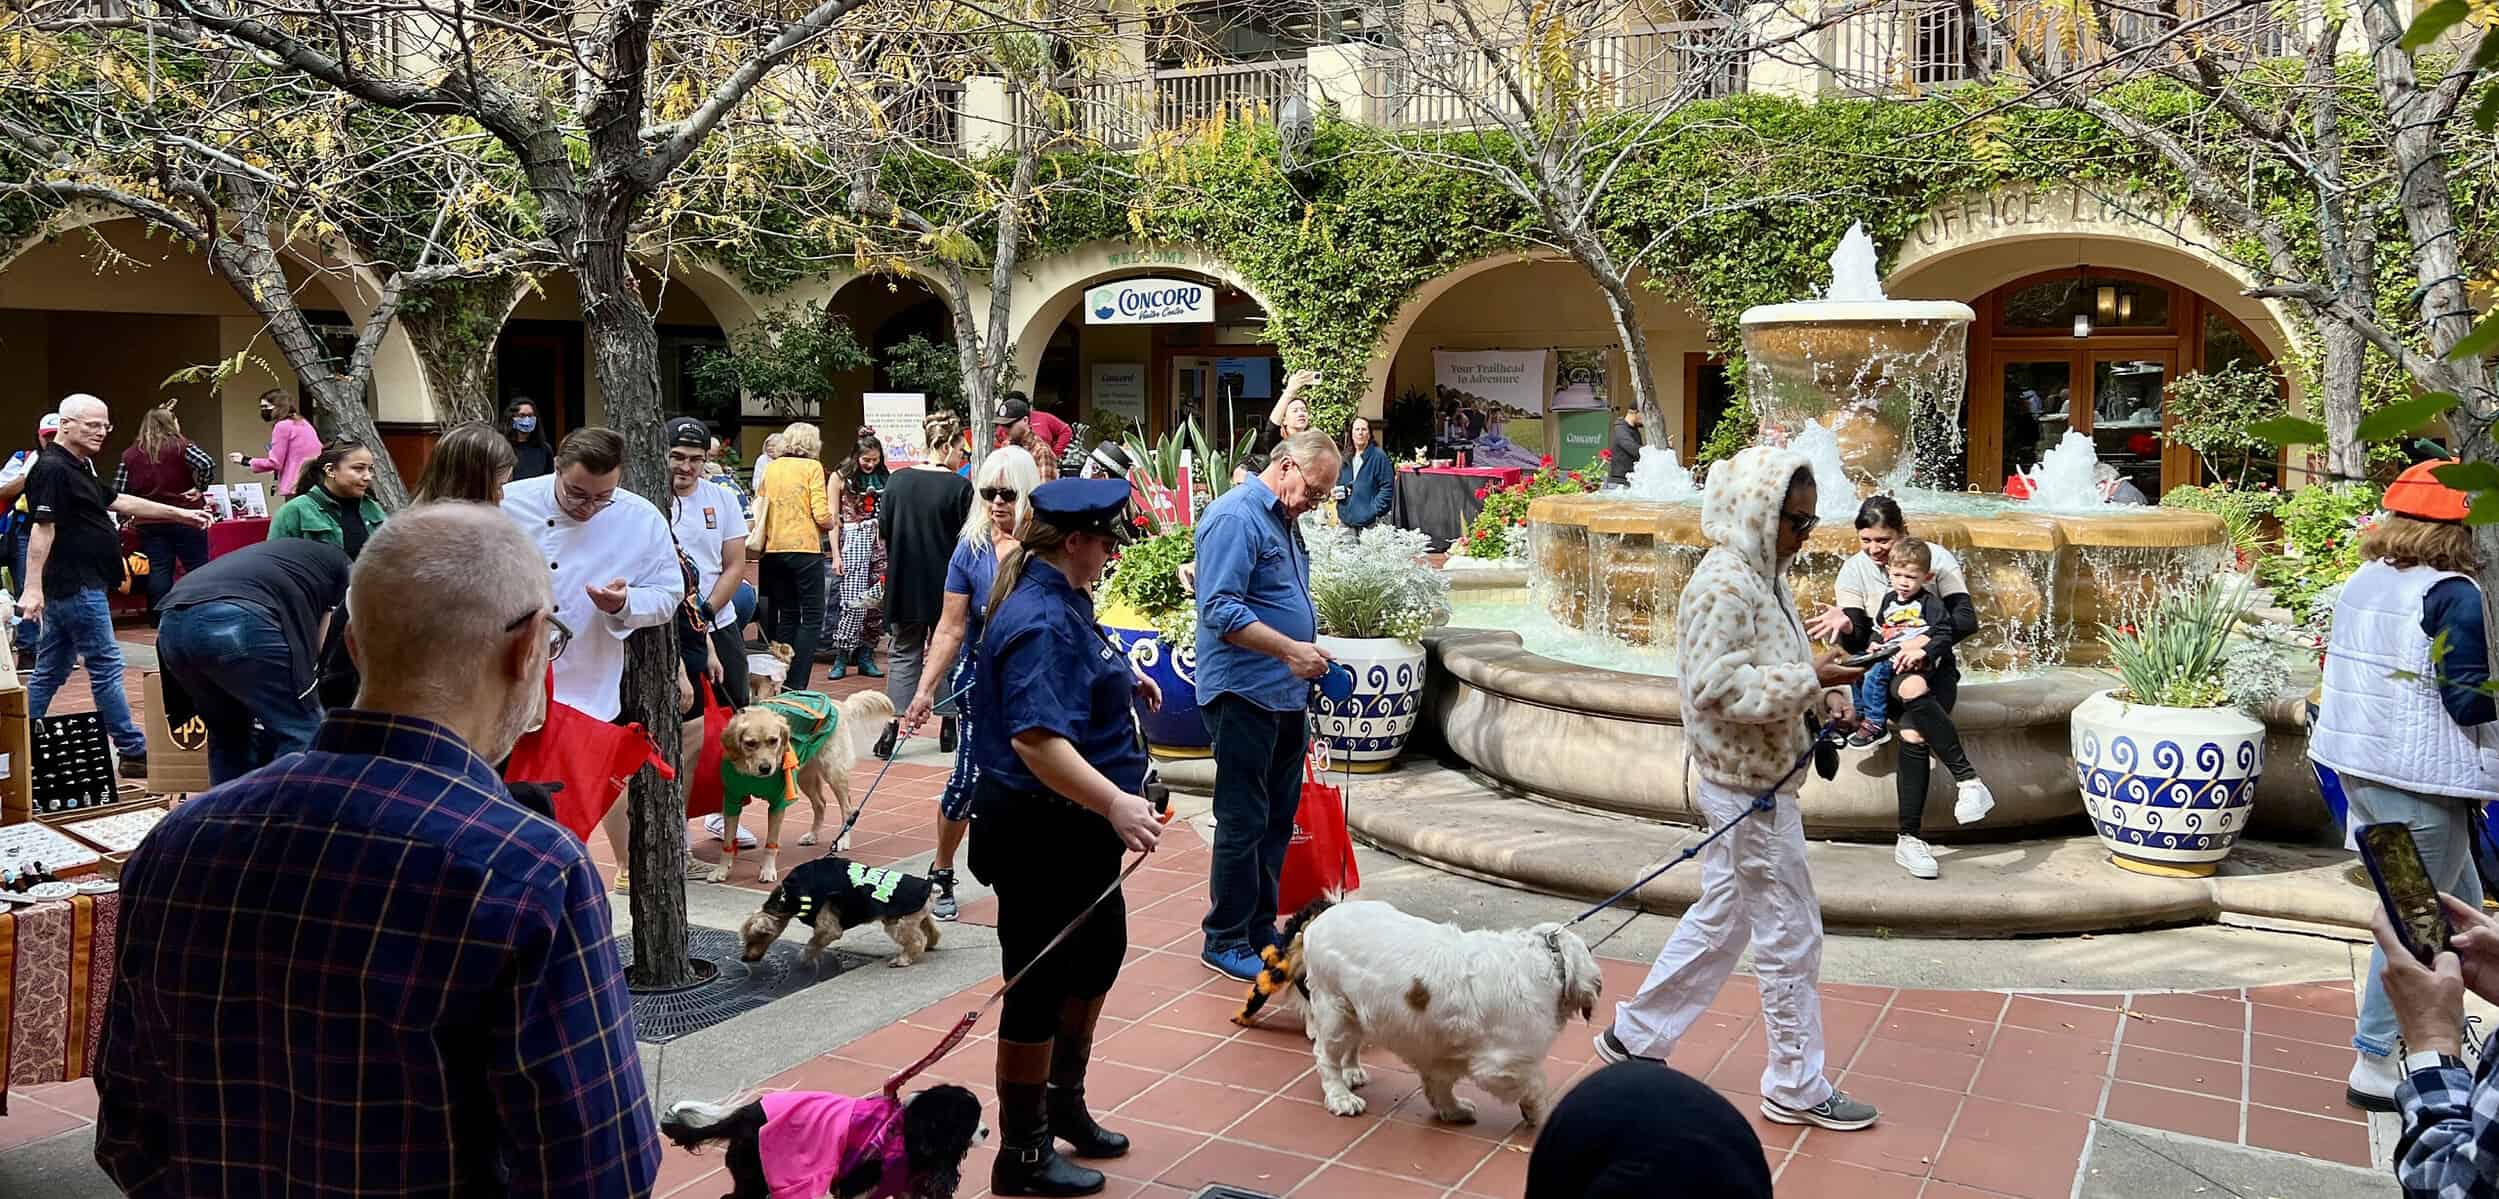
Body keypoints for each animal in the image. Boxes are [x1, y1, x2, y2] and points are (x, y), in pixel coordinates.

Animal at [714, 679, 899, 884]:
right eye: (750, 743)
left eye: (773, 741)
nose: (766, 768)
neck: (750, 771)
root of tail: (837, 704)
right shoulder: (732, 800)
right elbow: (727, 841)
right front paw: (721, 870)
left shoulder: (778, 803)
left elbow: (771, 843)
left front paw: (768, 870)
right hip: (805, 777)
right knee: (821, 803)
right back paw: (813, 835)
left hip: (832, 772)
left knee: (847, 808)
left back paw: (842, 840)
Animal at [739, 859, 944, 969]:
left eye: (752, 939)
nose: (744, 958)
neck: (787, 896)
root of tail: (931, 888)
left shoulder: (827, 928)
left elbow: (813, 944)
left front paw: (804, 959)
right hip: (916, 917)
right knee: (932, 932)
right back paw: (929, 944)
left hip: (897, 924)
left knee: (916, 941)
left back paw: (902, 959)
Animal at [1244, 899, 1599, 1124]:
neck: (1547, 959)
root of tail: (1318, 920)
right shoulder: (1505, 1063)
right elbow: (1536, 1084)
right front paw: (1538, 1113)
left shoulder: (1443, 1053)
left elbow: (1440, 1086)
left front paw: (1453, 1111)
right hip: (1335, 1011)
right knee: (1326, 1056)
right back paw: (1341, 1098)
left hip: (1357, 1010)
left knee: (1350, 1048)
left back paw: (1352, 1073)